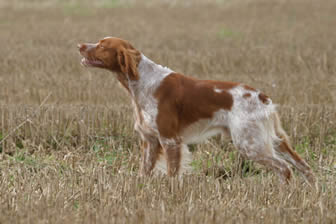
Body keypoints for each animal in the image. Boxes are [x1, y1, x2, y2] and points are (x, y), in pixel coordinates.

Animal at [78, 36, 316, 184]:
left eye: (102, 45)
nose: (80, 45)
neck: (143, 82)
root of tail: (262, 97)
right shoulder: (150, 141)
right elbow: (144, 171)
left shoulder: (170, 140)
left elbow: (173, 174)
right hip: (273, 141)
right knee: (303, 166)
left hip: (250, 143)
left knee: (284, 168)